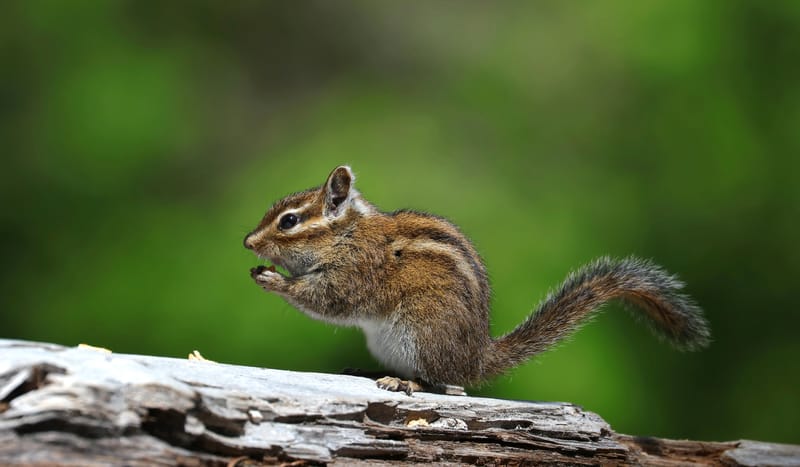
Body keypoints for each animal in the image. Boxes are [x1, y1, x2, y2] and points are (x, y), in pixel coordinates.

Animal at [244, 165, 710, 394]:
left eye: (289, 222)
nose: (248, 243)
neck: (347, 234)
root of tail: (477, 358)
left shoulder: (355, 274)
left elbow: (328, 300)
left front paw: (274, 280)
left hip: (421, 330)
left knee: (440, 381)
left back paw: (405, 380)